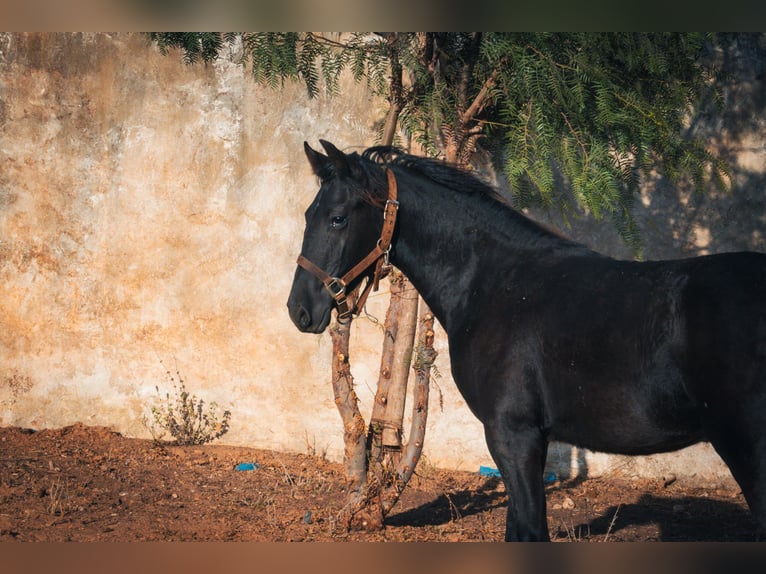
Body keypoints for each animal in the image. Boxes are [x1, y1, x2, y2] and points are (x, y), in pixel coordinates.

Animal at [288, 141, 766, 544]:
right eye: (310, 215)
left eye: (338, 217)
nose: (300, 310)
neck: (493, 282)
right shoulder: (531, 439)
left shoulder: (512, 434)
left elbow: (531, 533)